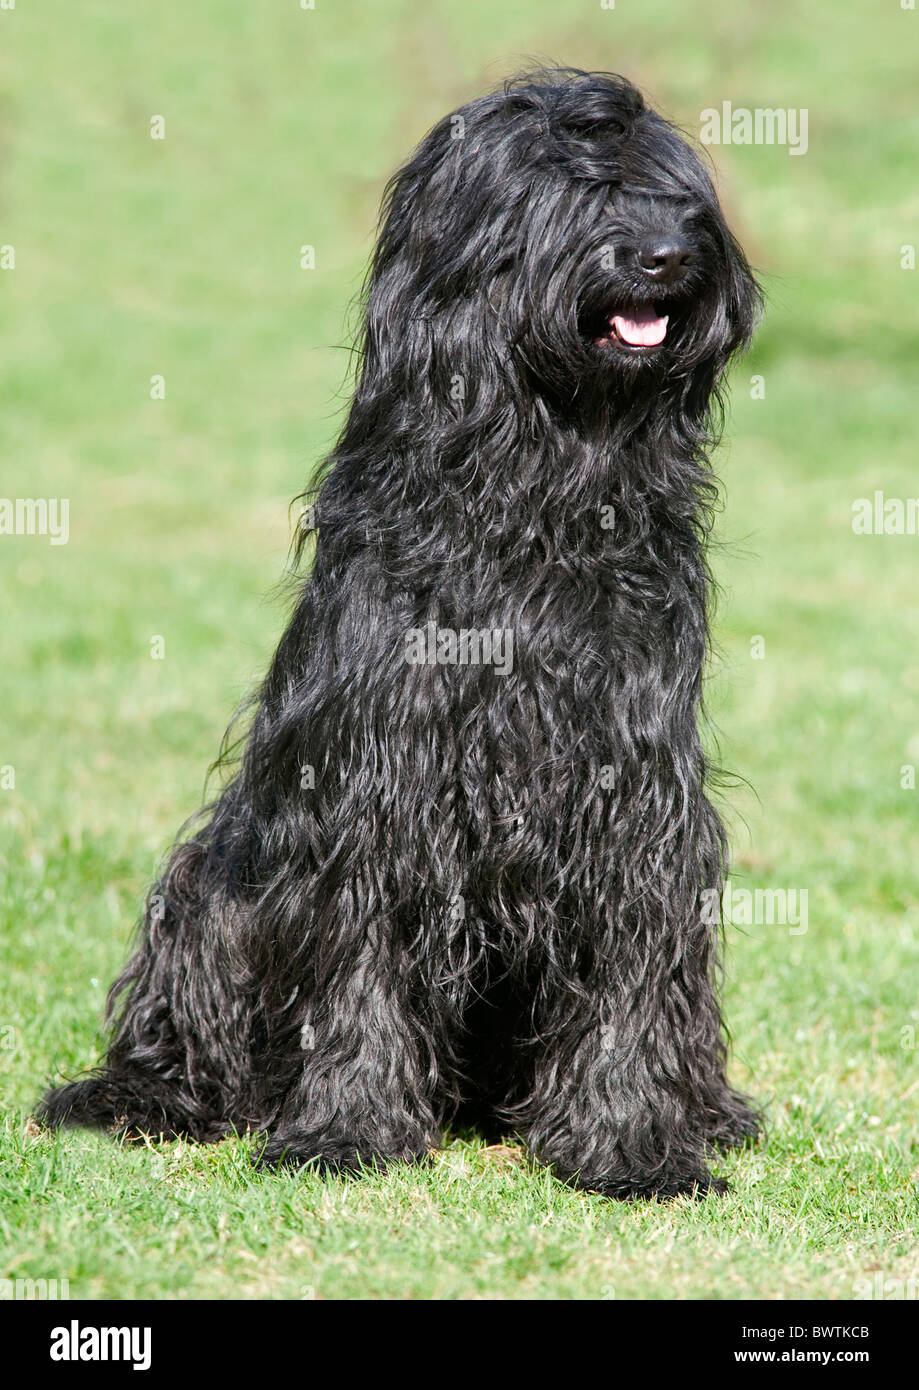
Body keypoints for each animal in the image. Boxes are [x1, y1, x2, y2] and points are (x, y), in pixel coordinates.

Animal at [39, 67, 761, 1195]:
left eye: (673, 190)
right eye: (566, 180)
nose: (666, 255)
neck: (539, 479)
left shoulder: (634, 785)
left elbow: (631, 971)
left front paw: (634, 1148)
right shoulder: (374, 780)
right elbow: (359, 962)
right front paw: (346, 1131)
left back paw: (708, 1110)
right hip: (210, 886)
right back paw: (150, 1095)